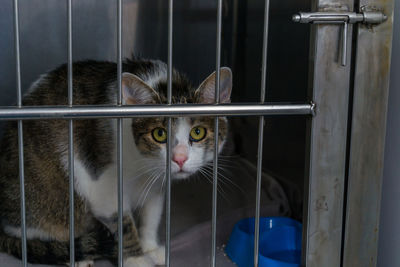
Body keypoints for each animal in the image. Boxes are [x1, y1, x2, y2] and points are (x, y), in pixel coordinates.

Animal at [0, 59, 231, 267]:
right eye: (159, 134)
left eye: (198, 132)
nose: (180, 158)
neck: (142, 164)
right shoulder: (104, 188)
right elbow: (123, 224)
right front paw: (137, 260)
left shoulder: (157, 184)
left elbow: (152, 214)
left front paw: (150, 248)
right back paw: (75, 257)